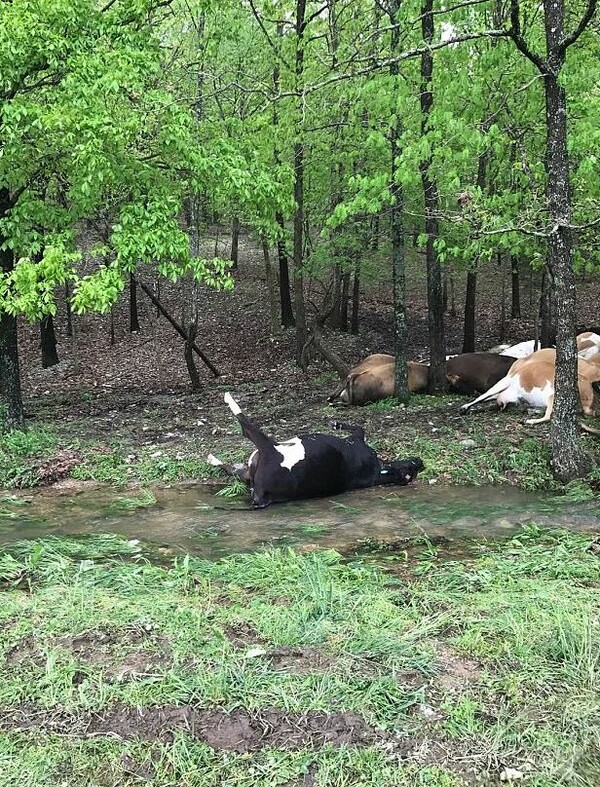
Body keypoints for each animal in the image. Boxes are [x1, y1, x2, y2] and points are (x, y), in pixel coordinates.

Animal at [209, 394, 424, 510]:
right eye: (412, 469)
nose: (421, 462)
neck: (380, 471)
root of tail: (263, 497)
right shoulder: (357, 439)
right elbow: (358, 426)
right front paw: (337, 423)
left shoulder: (356, 439)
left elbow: (359, 427)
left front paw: (336, 424)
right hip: (248, 472)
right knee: (231, 467)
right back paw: (213, 459)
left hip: (265, 446)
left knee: (245, 425)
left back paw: (230, 400)